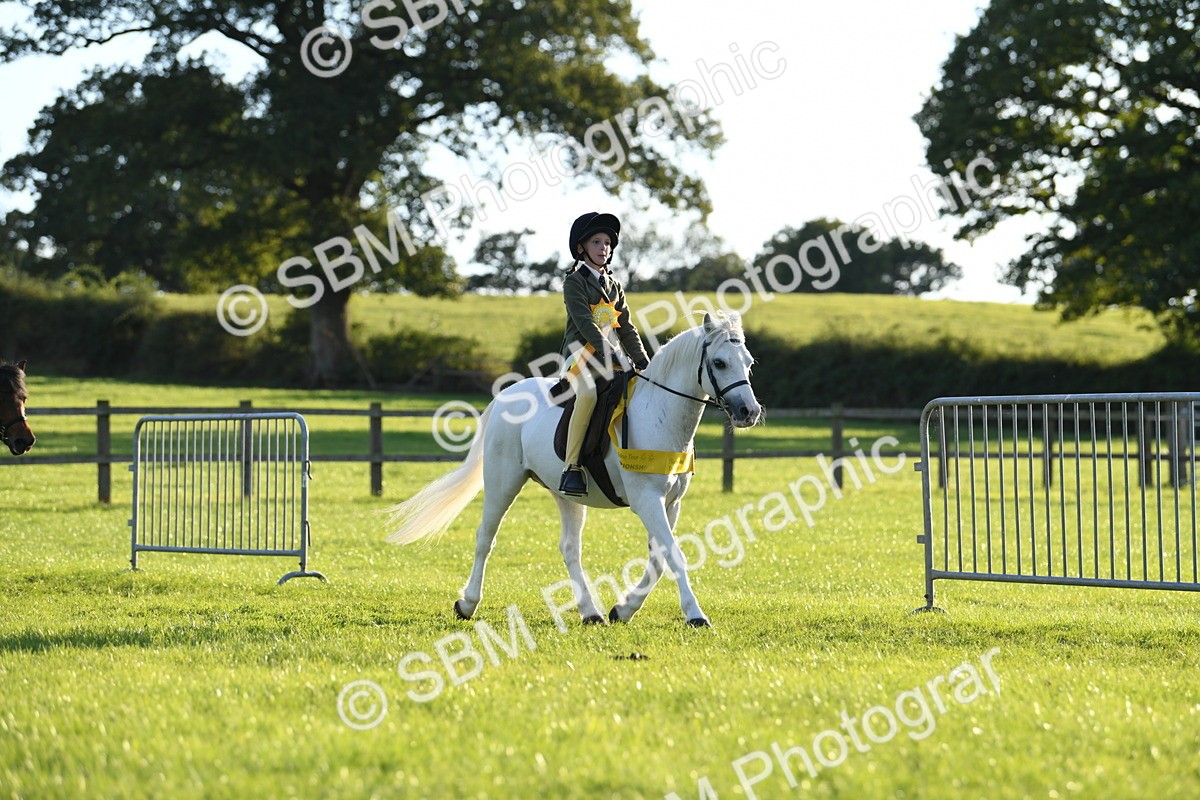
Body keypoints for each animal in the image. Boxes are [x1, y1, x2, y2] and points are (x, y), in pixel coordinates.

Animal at [386, 312, 763, 627]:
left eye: (748, 363)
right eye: (719, 362)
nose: (749, 411)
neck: (660, 413)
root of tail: (508, 393)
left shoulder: (671, 502)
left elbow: (658, 559)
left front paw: (623, 609)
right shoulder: (647, 500)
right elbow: (674, 554)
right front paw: (695, 615)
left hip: (566, 494)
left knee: (569, 548)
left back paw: (590, 611)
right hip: (503, 482)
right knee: (485, 538)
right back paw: (467, 603)